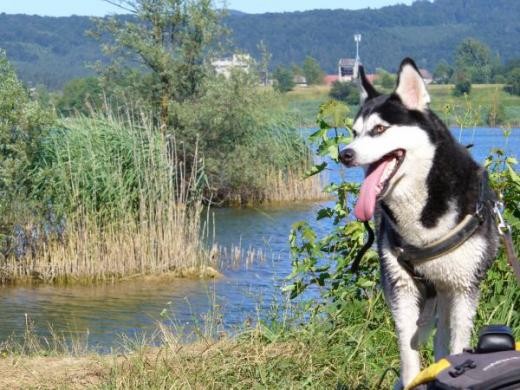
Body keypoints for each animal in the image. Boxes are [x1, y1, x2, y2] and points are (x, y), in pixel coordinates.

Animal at [340, 58, 498, 390]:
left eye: (379, 129)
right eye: (355, 132)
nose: (344, 154)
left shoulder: (465, 287)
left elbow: (457, 345)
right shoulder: (401, 288)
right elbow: (409, 356)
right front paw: (412, 378)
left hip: (449, 289)